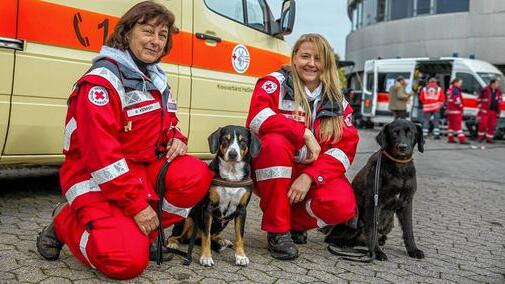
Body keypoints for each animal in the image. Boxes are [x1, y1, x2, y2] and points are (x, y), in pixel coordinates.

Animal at [167, 125, 260, 266]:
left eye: (243, 141)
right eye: (225, 140)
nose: (233, 154)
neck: (232, 175)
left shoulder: (241, 210)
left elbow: (239, 236)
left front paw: (241, 256)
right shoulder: (208, 208)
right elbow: (206, 237)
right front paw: (206, 257)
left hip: (224, 222)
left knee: (213, 235)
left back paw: (222, 240)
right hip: (189, 219)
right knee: (177, 236)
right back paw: (172, 243)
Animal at [326, 118, 426, 260]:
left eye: (410, 133)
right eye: (394, 133)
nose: (402, 147)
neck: (399, 168)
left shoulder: (406, 202)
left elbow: (408, 230)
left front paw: (413, 250)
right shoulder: (374, 202)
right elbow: (372, 229)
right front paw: (377, 252)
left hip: (389, 223)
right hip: (355, 222)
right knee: (331, 237)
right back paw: (346, 244)